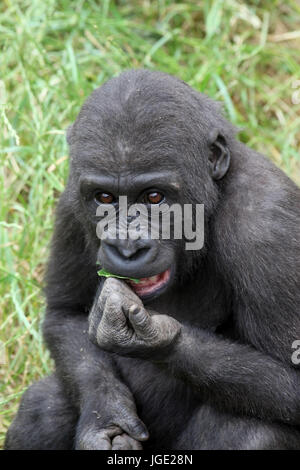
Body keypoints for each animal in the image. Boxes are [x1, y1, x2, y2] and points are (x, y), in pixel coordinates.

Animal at [4, 69, 300, 448]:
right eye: (104, 197)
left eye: (155, 197)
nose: (128, 247)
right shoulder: (71, 203)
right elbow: (65, 313)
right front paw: (105, 419)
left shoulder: (267, 224)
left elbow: (292, 381)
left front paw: (156, 338)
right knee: (43, 408)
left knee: (252, 429)